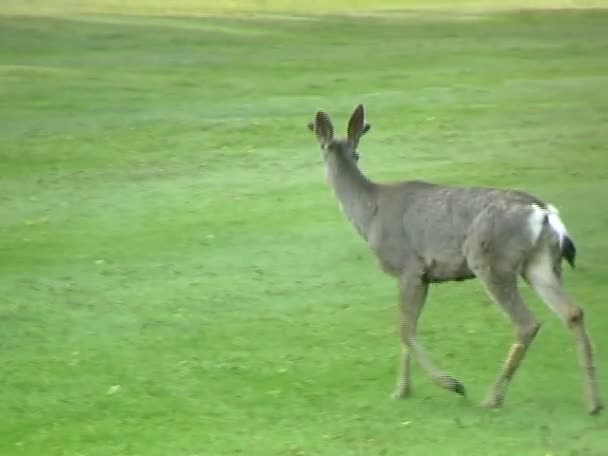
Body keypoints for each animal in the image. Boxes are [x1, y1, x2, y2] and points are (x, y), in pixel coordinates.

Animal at [306, 105, 600, 416]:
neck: (369, 214)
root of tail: (542, 212)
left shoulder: (409, 267)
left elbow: (404, 328)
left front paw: (451, 384)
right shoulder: (423, 276)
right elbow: (407, 329)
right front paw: (401, 391)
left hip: (489, 259)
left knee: (527, 322)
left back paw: (492, 398)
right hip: (540, 263)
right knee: (573, 312)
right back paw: (593, 403)